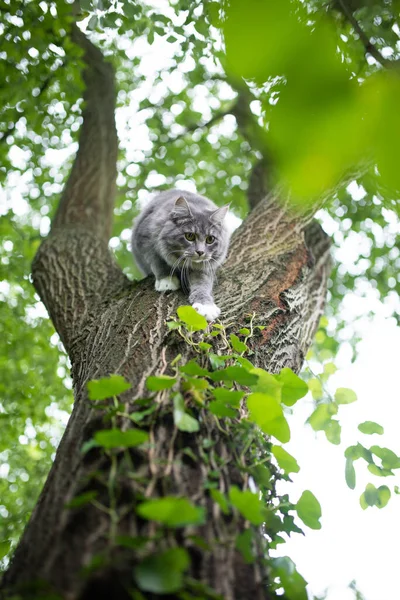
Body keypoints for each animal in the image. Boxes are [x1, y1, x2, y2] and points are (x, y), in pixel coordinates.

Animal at [131, 189, 230, 322]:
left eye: (210, 239)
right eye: (190, 236)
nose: (200, 252)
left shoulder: (203, 269)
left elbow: (202, 285)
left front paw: (205, 306)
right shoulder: (145, 239)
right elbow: (157, 260)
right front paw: (166, 280)